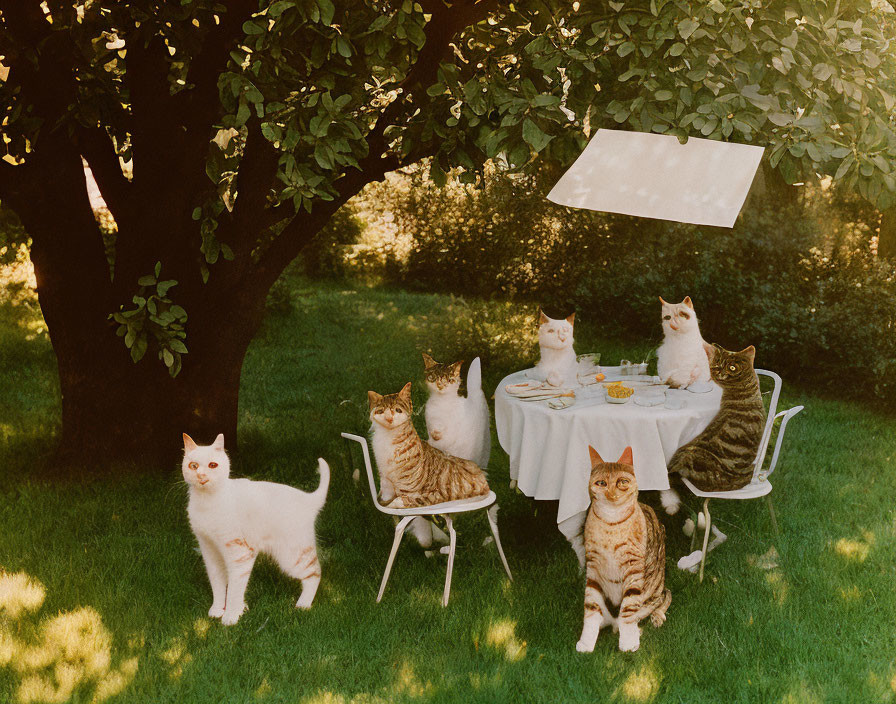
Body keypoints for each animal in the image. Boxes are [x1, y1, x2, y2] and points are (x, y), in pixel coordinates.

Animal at [182, 434, 328, 628]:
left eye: (213, 465)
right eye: (193, 466)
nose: (201, 475)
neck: (207, 502)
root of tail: (308, 498)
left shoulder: (240, 555)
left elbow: (234, 589)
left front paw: (231, 616)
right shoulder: (209, 552)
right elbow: (218, 585)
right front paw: (218, 610)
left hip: (293, 558)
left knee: (315, 573)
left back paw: (303, 604)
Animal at [576, 446, 668, 656]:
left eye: (622, 482)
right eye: (601, 483)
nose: (611, 494)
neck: (610, 523)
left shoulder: (633, 570)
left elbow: (628, 610)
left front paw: (628, 642)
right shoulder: (593, 570)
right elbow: (591, 609)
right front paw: (586, 642)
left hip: (654, 587)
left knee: (664, 597)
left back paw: (655, 617)